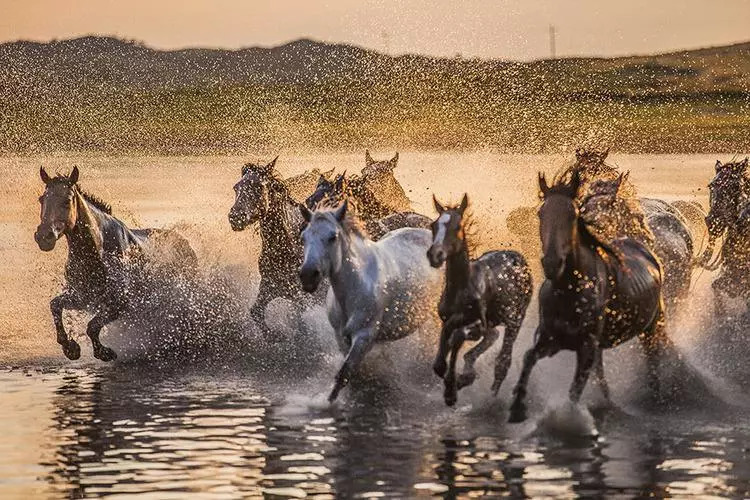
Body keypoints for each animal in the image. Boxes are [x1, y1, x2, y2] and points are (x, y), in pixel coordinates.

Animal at [298, 201, 440, 400]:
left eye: (333, 237)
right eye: (303, 237)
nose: (308, 275)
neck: (357, 285)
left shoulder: (364, 336)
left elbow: (344, 374)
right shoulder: (341, 337)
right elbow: (351, 375)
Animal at [428, 193, 536, 408]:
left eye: (457, 227)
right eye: (433, 226)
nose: (435, 255)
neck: (463, 287)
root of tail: (519, 257)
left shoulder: (479, 324)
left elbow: (457, 337)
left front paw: (452, 389)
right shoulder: (447, 319)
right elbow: (440, 361)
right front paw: (457, 380)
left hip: (515, 320)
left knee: (503, 360)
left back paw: (491, 398)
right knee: (492, 336)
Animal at [512, 171, 668, 422]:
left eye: (573, 214)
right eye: (540, 213)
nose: (552, 263)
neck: (569, 289)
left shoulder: (585, 347)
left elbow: (575, 391)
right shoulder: (551, 338)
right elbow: (528, 357)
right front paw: (517, 406)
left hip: (652, 328)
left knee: (653, 363)